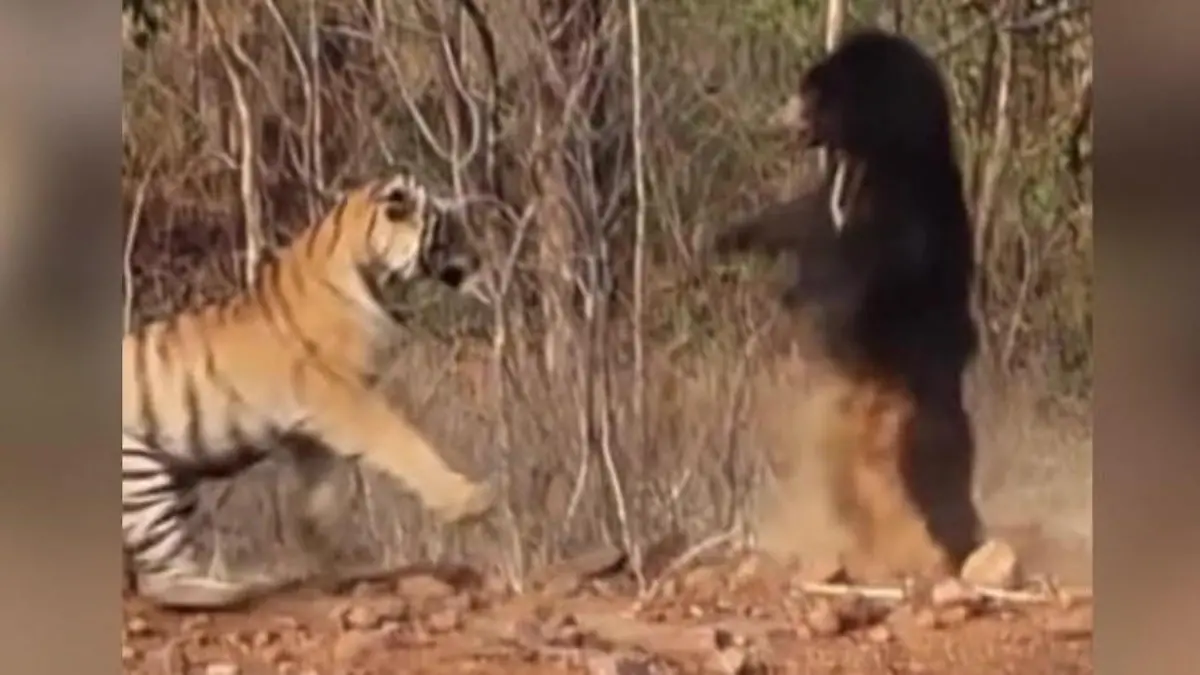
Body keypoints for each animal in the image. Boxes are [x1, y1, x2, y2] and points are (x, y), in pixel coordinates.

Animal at [122, 171, 500, 610]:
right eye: (449, 229)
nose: (479, 261)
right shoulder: (343, 397)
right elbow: (403, 441)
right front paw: (469, 501)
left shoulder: (310, 429)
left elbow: (318, 500)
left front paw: (332, 559)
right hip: (141, 478)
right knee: (160, 580)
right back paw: (243, 586)